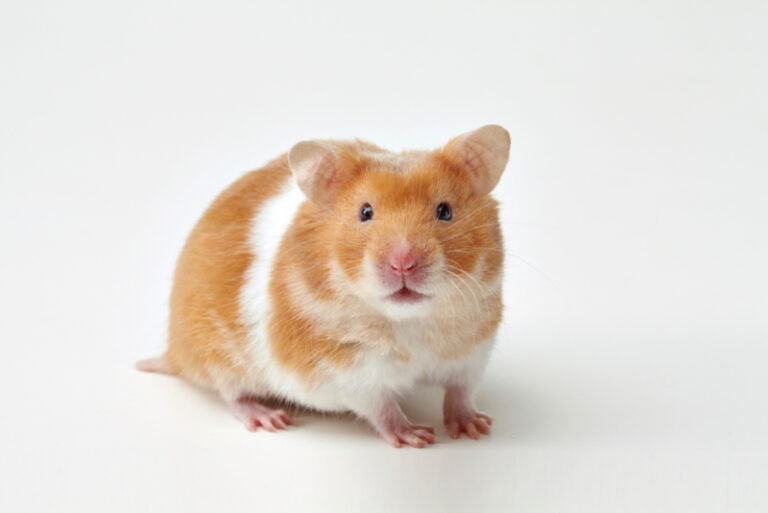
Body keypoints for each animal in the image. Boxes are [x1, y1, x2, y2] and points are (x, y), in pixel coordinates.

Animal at [137, 125, 510, 448]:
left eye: (445, 211)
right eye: (365, 212)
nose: (403, 264)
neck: (410, 320)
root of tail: (176, 351)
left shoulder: (474, 350)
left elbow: (461, 391)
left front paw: (477, 428)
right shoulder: (348, 371)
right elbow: (381, 408)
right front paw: (415, 437)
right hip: (217, 354)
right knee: (232, 394)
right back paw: (269, 418)